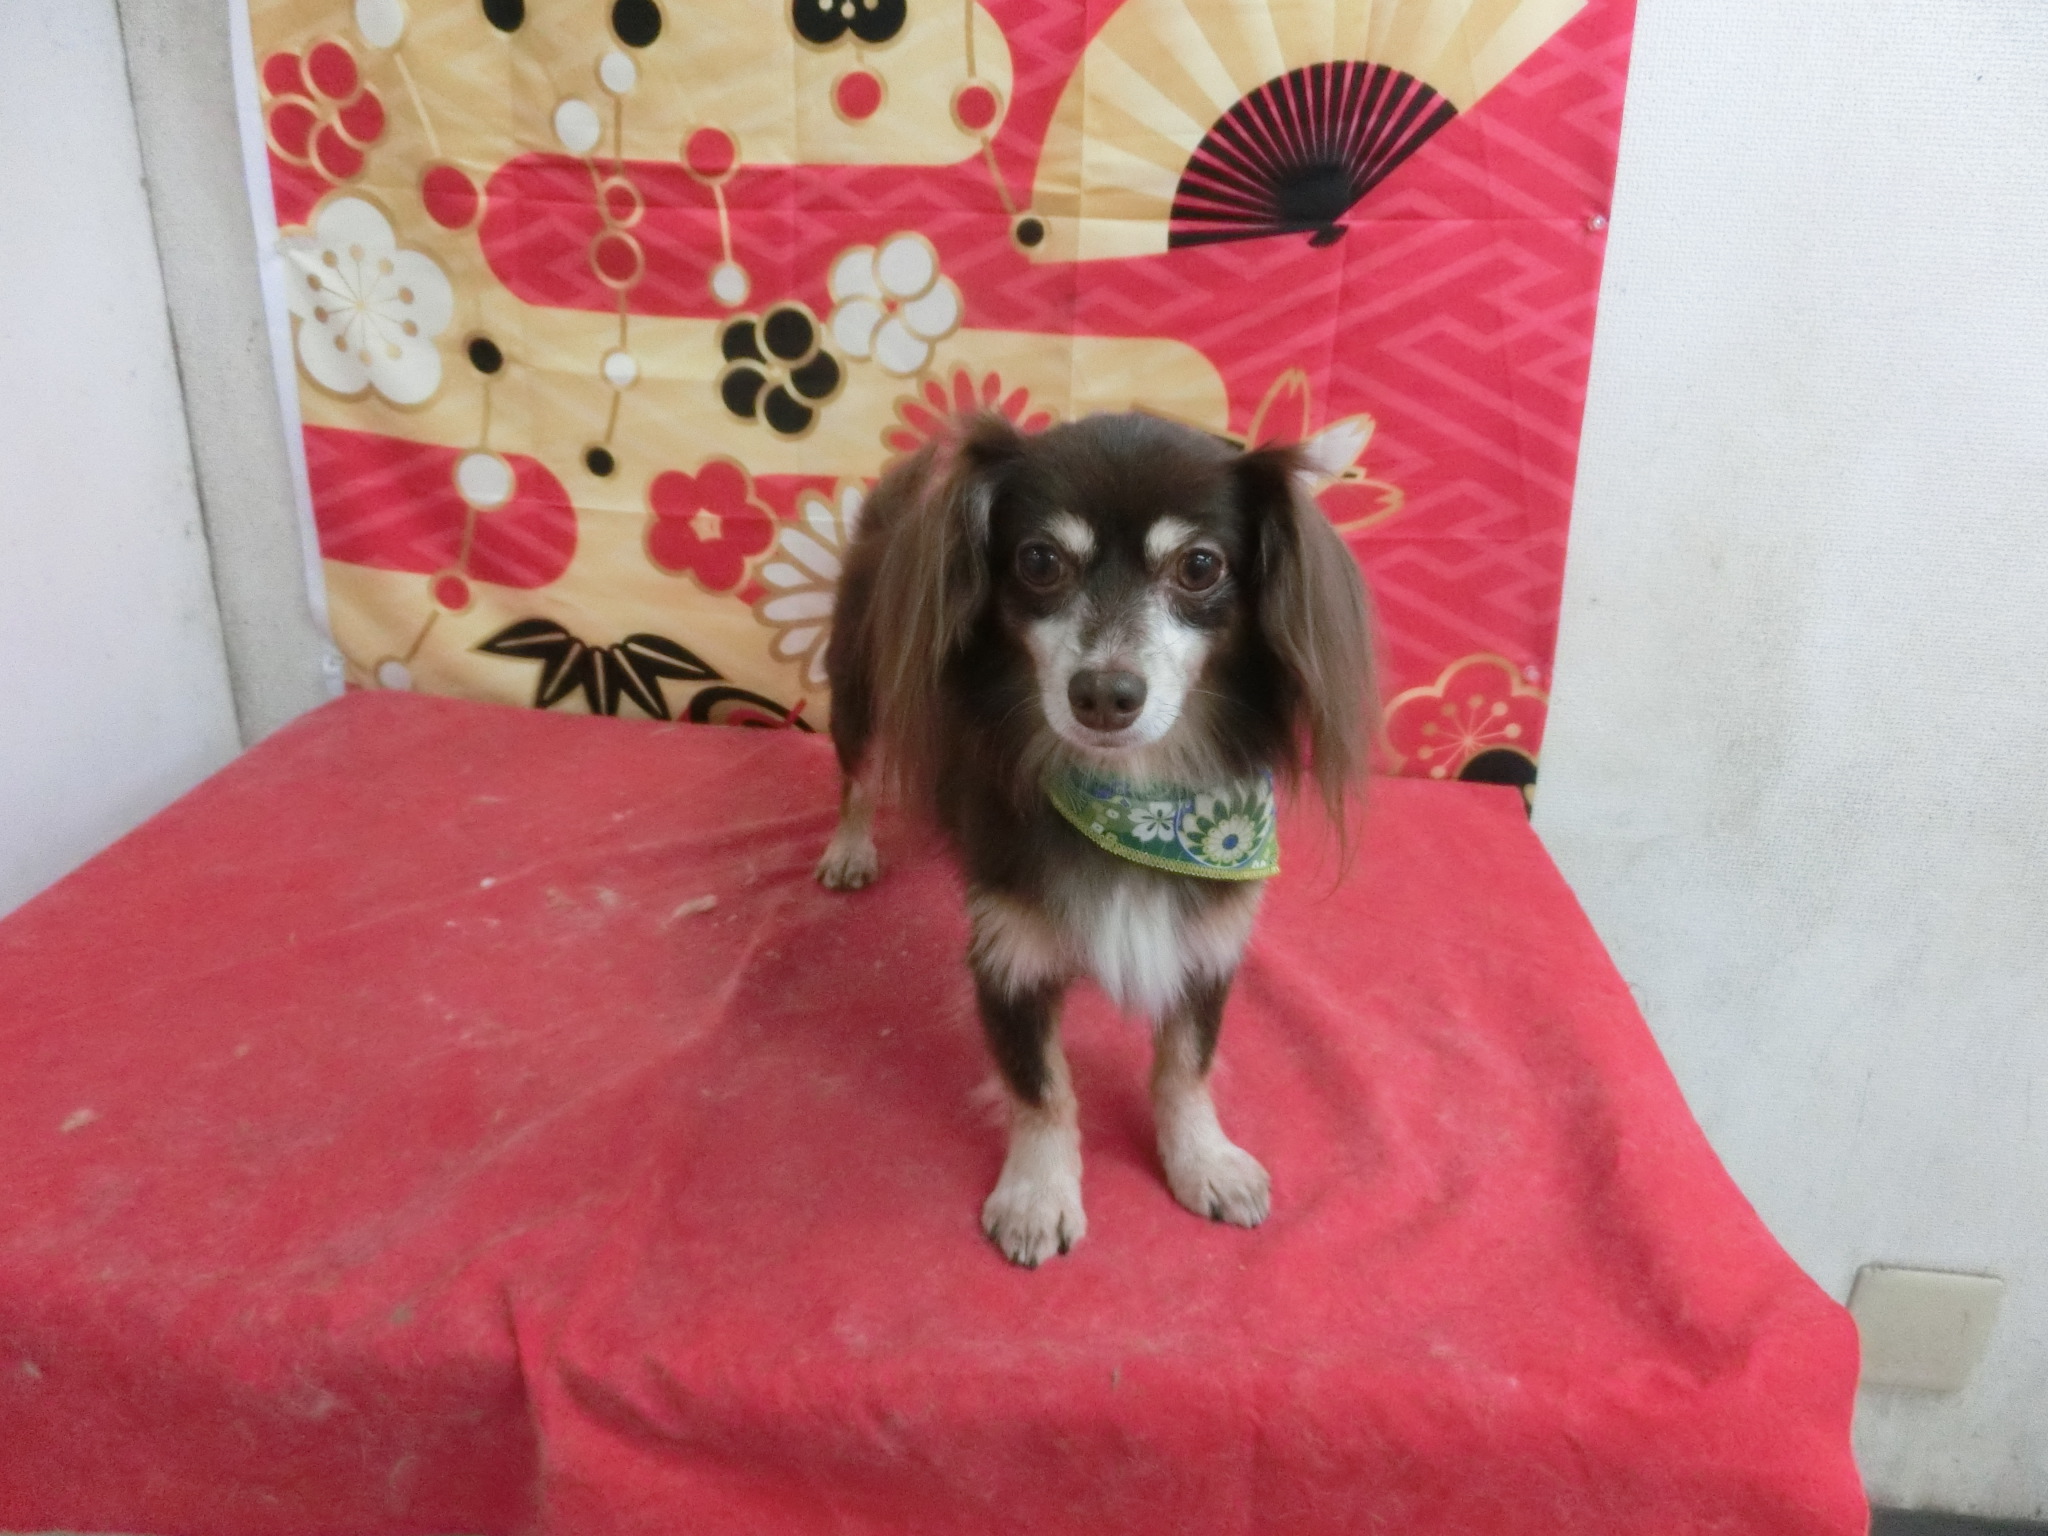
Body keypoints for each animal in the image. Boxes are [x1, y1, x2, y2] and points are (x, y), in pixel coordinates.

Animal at [816, 410, 1374, 1266]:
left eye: (1200, 565)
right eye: (1039, 560)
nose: (1105, 694)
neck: (1134, 807)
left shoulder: (1207, 939)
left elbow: (1186, 1066)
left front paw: (1203, 1159)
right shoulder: (1008, 953)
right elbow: (1042, 1086)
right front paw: (1038, 1195)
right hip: (861, 698)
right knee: (859, 780)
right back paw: (850, 849)